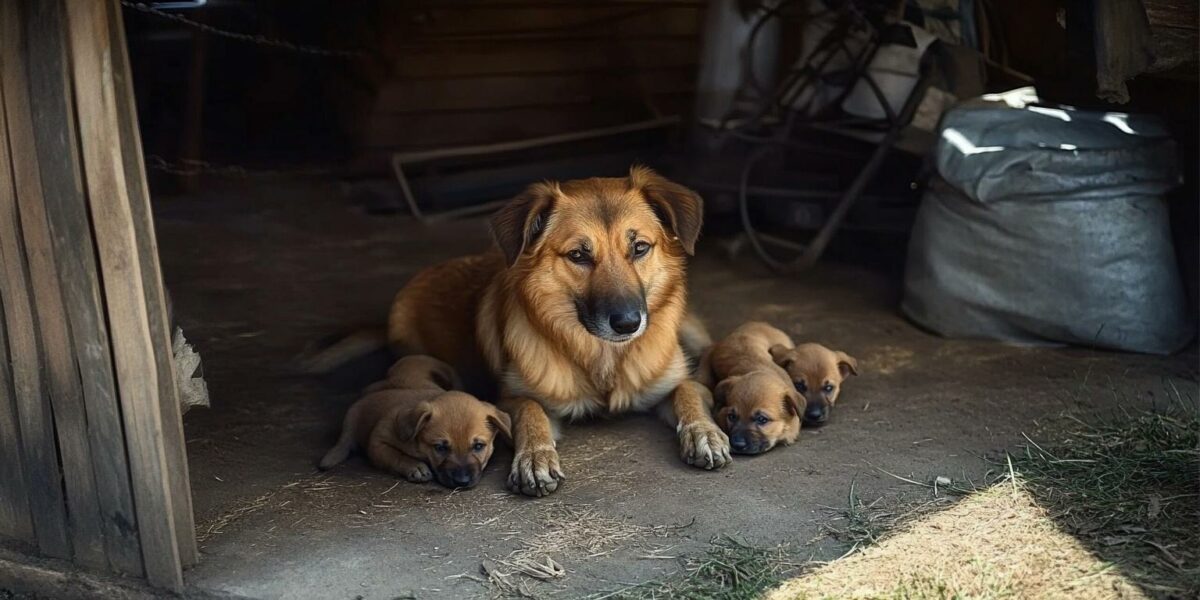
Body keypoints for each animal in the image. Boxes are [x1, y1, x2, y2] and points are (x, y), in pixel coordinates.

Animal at [316, 355, 508, 487]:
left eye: (479, 446)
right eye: (440, 448)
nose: (462, 482)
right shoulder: (378, 442)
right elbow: (396, 455)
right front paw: (415, 467)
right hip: (352, 416)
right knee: (345, 439)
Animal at [388, 165, 724, 496]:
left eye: (640, 248)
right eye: (578, 255)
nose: (629, 324)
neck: (603, 357)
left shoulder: (669, 381)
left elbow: (687, 389)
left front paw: (703, 431)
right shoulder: (507, 401)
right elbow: (529, 410)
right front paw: (534, 457)